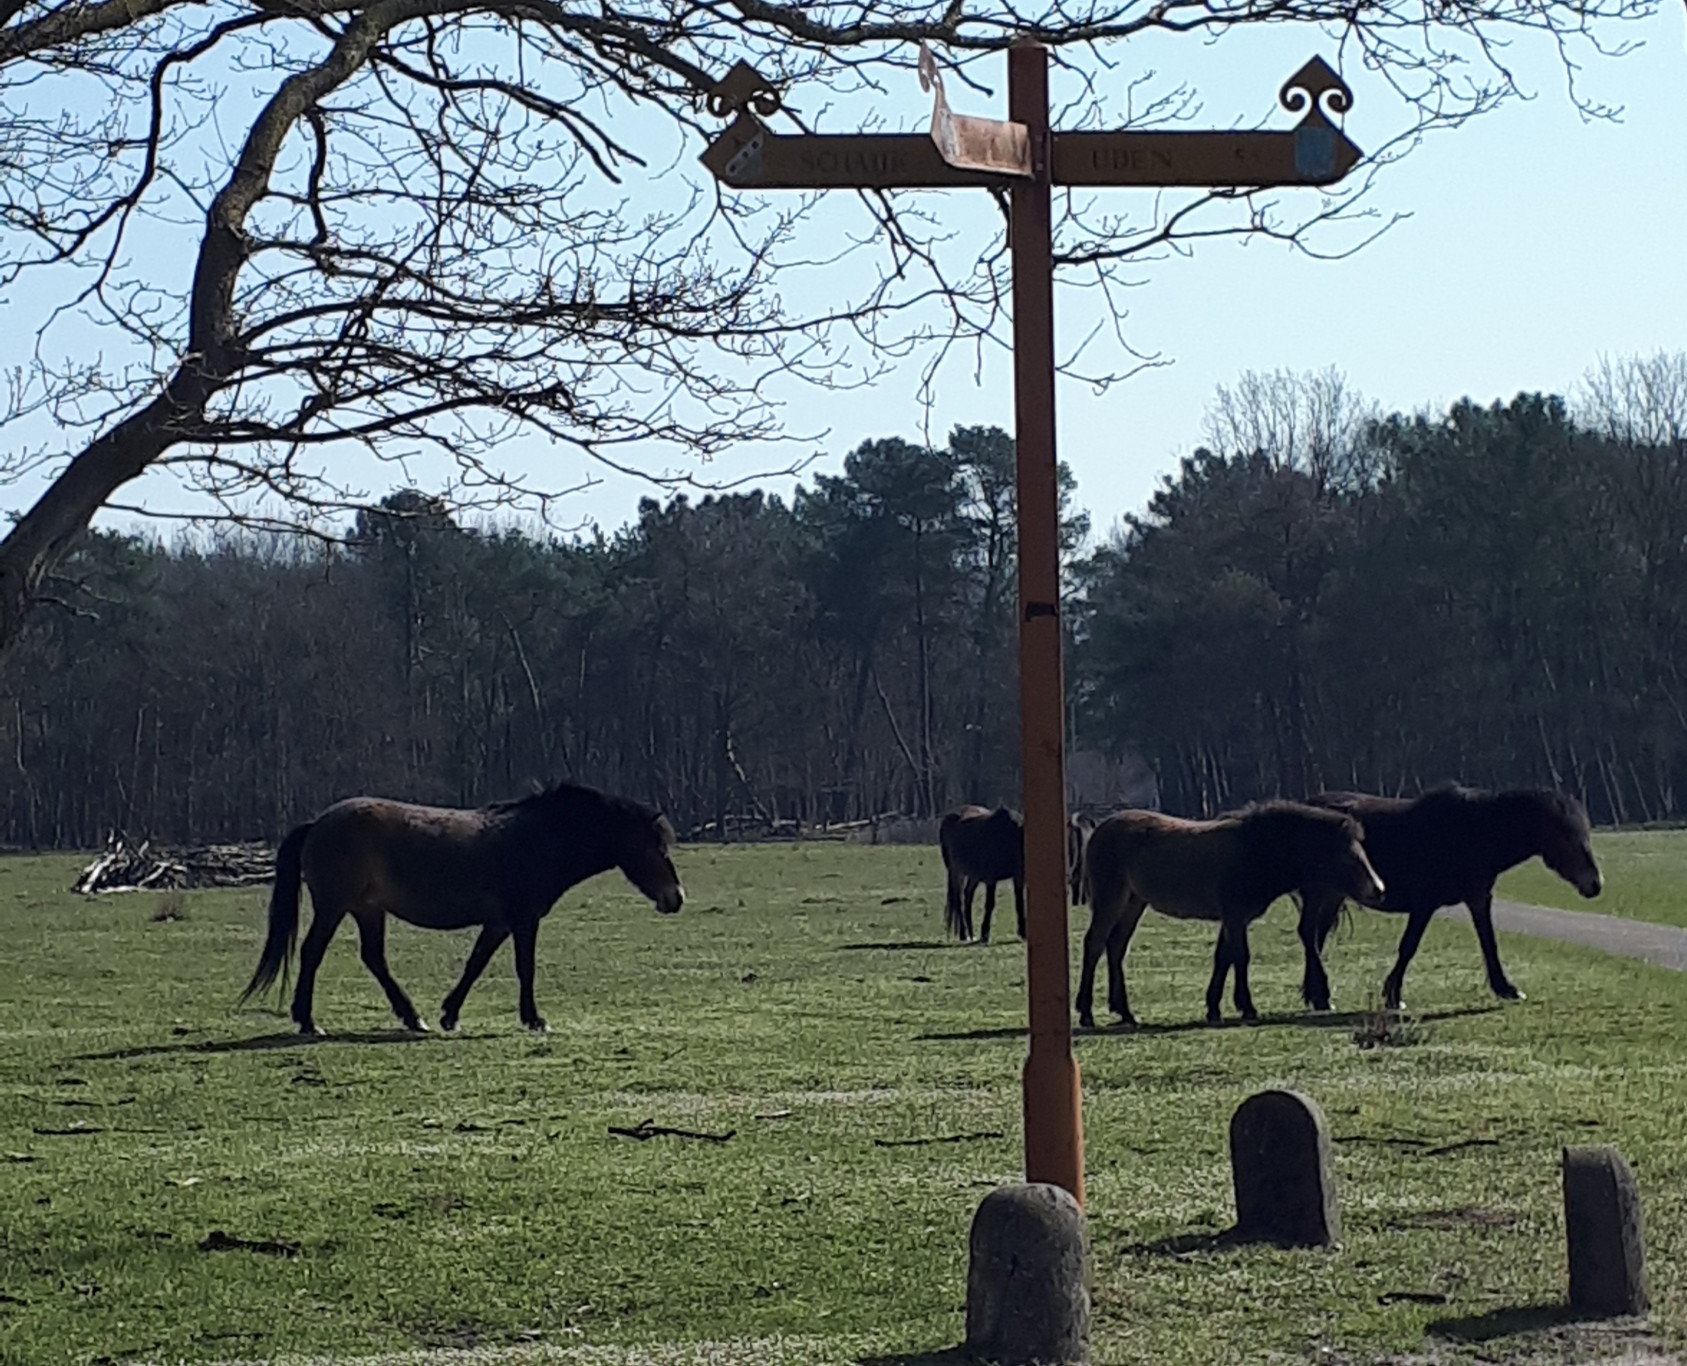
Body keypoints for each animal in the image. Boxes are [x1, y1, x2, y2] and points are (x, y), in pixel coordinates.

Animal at [239, 782, 684, 1025]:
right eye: (655, 846)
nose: (675, 898)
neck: (539, 839)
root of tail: (318, 823)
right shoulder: (523, 919)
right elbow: (525, 967)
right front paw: (534, 1019)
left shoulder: (500, 922)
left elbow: (476, 964)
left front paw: (449, 1014)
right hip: (334, 906)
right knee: (313, 952)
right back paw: (308, 1021)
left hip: (368, 909)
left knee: (374, 958)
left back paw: (412, 1017)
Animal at [937, 802, 1025, 944]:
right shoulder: (991, 879)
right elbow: (990, 904)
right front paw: (985, 935)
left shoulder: (1018, 876)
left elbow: (1019, 903)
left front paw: (1023, 933)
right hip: (956, 872)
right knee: (959, 899)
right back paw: (964, 934)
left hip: (973, 876)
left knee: (968, 897)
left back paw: (971, 933)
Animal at [1079, 799, 1383, 1025]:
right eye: (1346, 854)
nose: (1378, 889)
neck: (1255, 849)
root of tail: (1100, 829)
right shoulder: (1235, 915)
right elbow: (1240, 957)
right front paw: (1247, 1007)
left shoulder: (1233, 917)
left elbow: (1222, 958)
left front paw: (1213, 1008)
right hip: (1111, 898)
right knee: (1094, 944)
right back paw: (1086, 1013)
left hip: (1134, 902)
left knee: (1116, 947)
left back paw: (1125, 1011)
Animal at [1295, 782, 1599, 1005]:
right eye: (1564, 835)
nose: (1595, 884)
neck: (1468, 833)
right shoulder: (1424, 904)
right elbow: (1409, 947)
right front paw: (1393, 996)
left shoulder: (1478, 898)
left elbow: (1488, 942)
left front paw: (1506, 988)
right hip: (1321, 892)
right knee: (1309, 934)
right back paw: (1321, 996)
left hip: (1331, 895)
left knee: (1316, 936)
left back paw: (1315, 995)